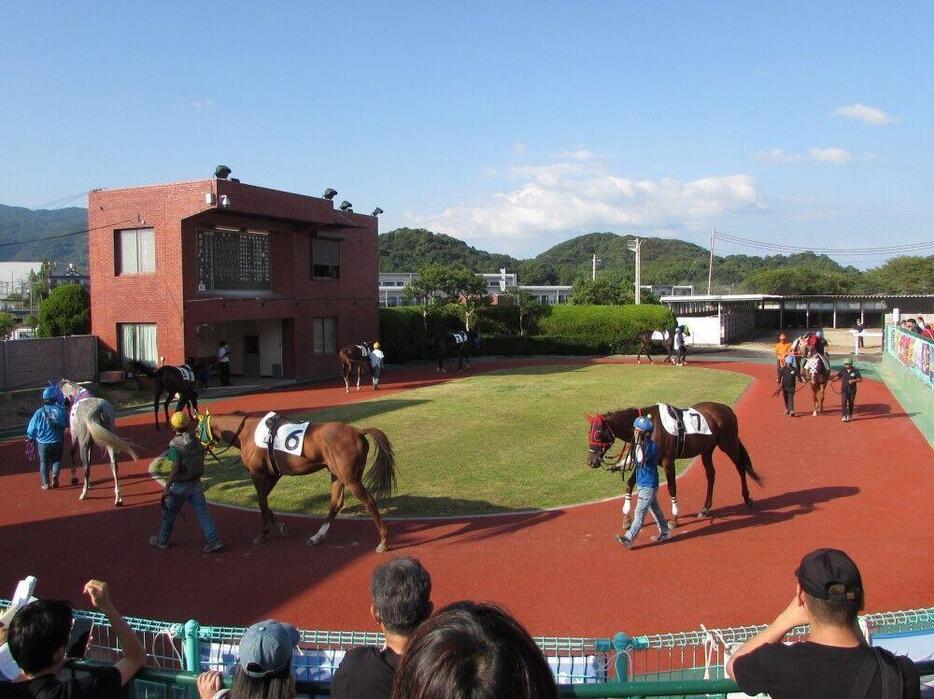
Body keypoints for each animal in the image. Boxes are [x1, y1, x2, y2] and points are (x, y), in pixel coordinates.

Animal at [199, 410, 396, 552]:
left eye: (195, 428)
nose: (201, 451)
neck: (247, 432)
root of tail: (358, 431)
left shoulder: (257, 473)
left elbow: (262, 502)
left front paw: (264, 533)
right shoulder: (273, 474)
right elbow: (263, 500)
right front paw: (279, 526)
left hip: (350, 477)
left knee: (368, 501)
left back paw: (383, 541)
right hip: (337, 474)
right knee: (336, 503)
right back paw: (317, 536)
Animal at [588, 402, 764, 528]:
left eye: (598, 434)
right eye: (589, 433)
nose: (591, 461)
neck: (648, 426)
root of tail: (727, 409)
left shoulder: (668, 461)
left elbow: (672, 487)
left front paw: (674, 519)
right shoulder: (645, 460)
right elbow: (630, 484)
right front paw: (626, 518)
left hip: (729, 444)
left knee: (740, 467)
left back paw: (747, 498)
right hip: (707, 449)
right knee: (711, 475)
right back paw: (706, 509)